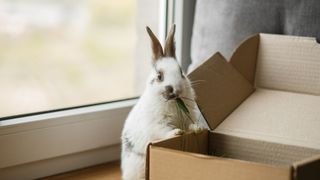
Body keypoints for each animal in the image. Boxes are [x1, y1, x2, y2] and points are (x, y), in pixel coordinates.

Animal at [121, 24, 204, 180]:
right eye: (159, 76)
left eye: (181, 72)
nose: (177, 90)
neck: (172, 103)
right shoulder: (155, 124)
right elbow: (163, 130)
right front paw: (177, 133)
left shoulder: (188, 117)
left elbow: (191, 124)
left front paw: (198, 128)